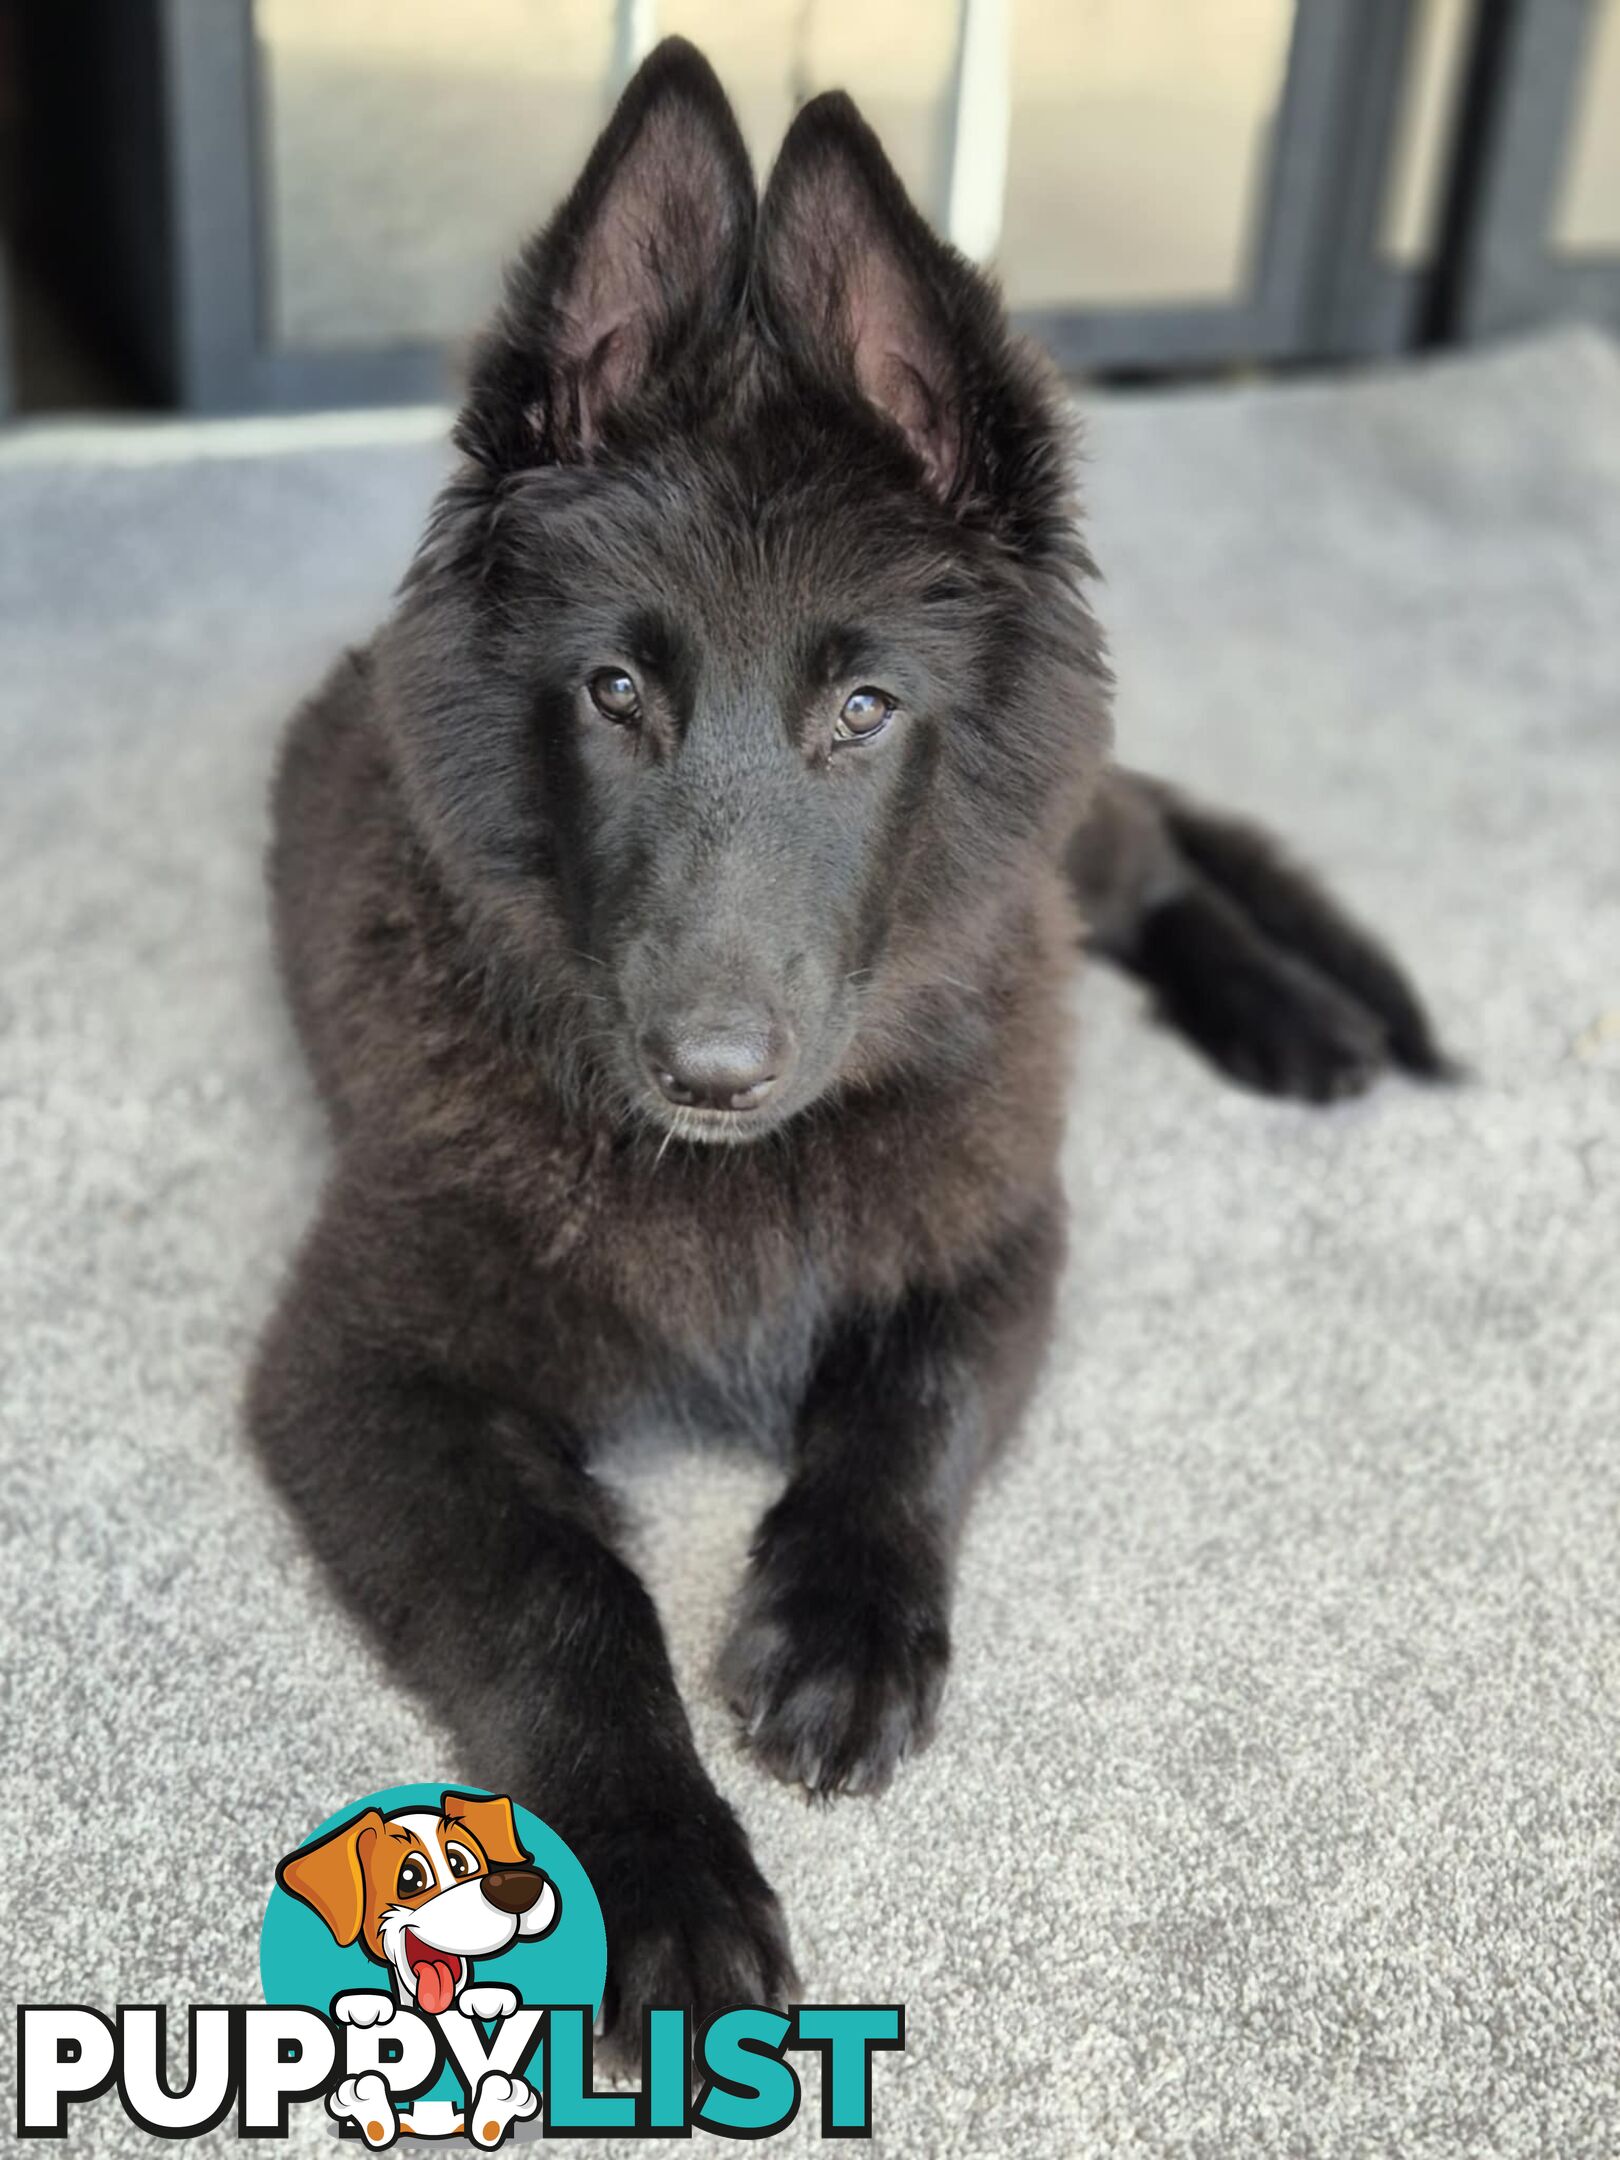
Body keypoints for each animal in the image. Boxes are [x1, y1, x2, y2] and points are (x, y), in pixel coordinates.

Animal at [250, 42, 1442, 2047]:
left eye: (865, 709)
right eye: (616, 692)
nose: (711, 1072)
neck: (748, 1176)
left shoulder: (999, 1222)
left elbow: (911, 1408)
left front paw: (850, 1628)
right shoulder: (363, 1371)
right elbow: (566, 1600)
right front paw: (658, 1876)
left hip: (1050, 861)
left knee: (1155, 855)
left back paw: (1303, 1016)